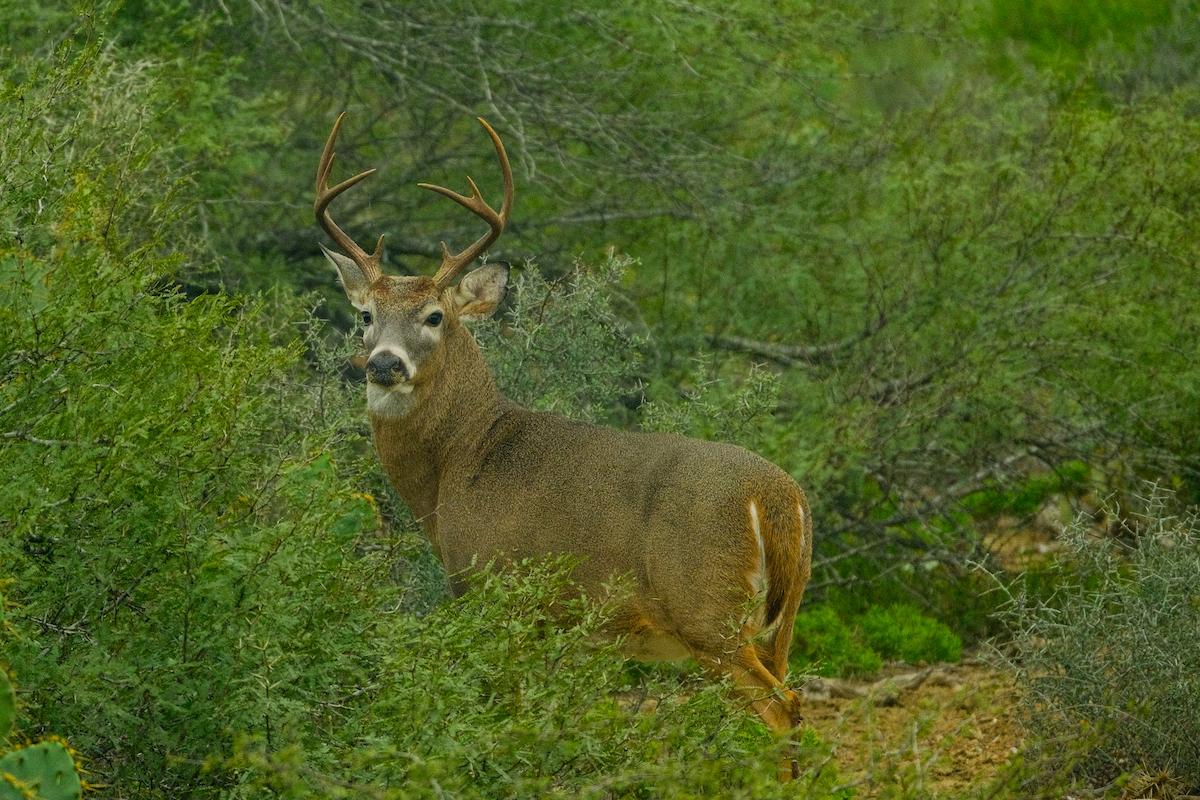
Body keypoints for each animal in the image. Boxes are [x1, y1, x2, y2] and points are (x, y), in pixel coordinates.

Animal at [314, 113, 813, 777]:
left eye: (434, 317)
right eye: (366, 315)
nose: (385, 364)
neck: (461, 461)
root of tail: (780, 499)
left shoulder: (493, 586)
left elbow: (507, 707)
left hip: (708, 610)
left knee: (781, 707)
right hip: (781, 617)